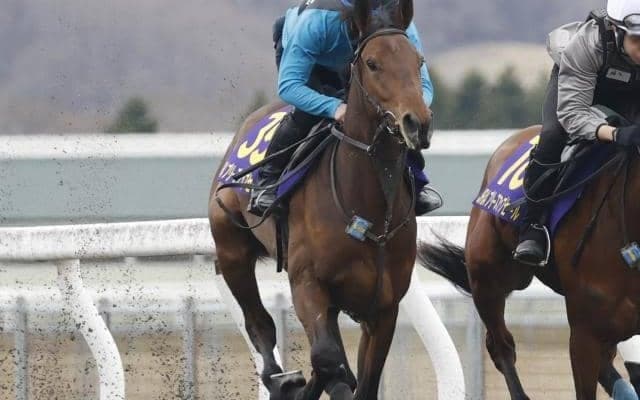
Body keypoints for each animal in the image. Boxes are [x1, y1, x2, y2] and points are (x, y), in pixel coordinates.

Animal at [208, 0, 432, 398]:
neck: (369, 210)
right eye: (372, 63)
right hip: (232, 250)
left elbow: (360, 378)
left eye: (418, 61)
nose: (416, 123)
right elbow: (328, 360)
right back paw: (279, 378)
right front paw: (303, 383)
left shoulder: (383, 308)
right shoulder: (307, 285)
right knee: (259, 323)